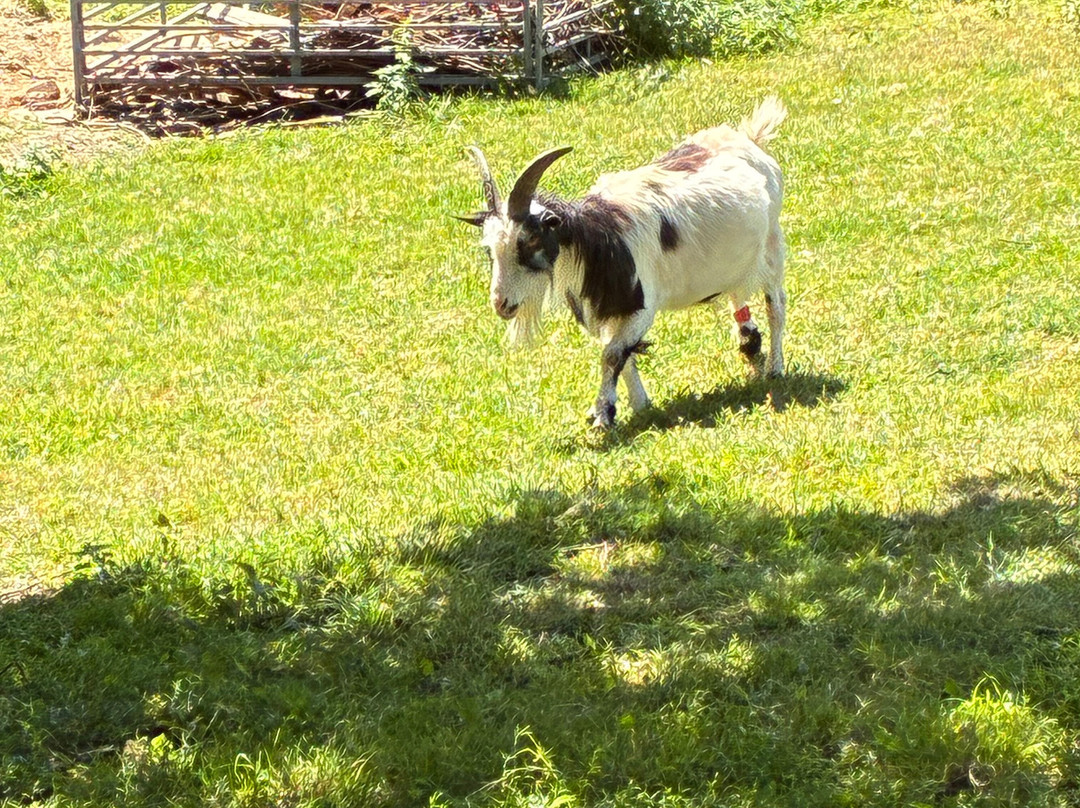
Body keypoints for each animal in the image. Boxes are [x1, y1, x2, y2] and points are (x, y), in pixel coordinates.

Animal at [458, 96, 788, 429]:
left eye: (529, 242)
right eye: (489, 250)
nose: (501, 304)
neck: (598, 242)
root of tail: (749, 139)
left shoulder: (641, 307)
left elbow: (613, 354)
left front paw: (603, 413)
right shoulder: (603, 312)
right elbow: (623, 354)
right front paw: (641, 405)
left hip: (773, 244)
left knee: (775, 304)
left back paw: (774, 368)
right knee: (737, 292)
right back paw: (749, 342)